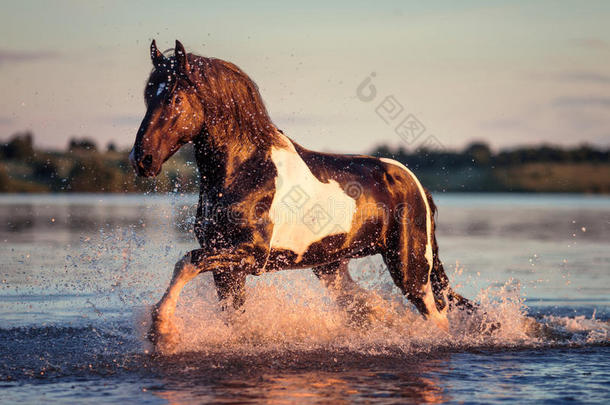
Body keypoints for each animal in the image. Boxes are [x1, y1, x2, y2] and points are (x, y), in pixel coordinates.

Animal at [131, 38, 472, 350]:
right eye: (147, 95)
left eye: (175, 97)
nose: (141, 159)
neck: (246, 170)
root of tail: (415, 184)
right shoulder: (228, 268)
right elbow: (232, 316)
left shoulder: (250, 255)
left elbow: (186, 262)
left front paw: (162, 332)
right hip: (330, 266)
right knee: (362, 306)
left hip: (409, 269)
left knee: (436, 317)